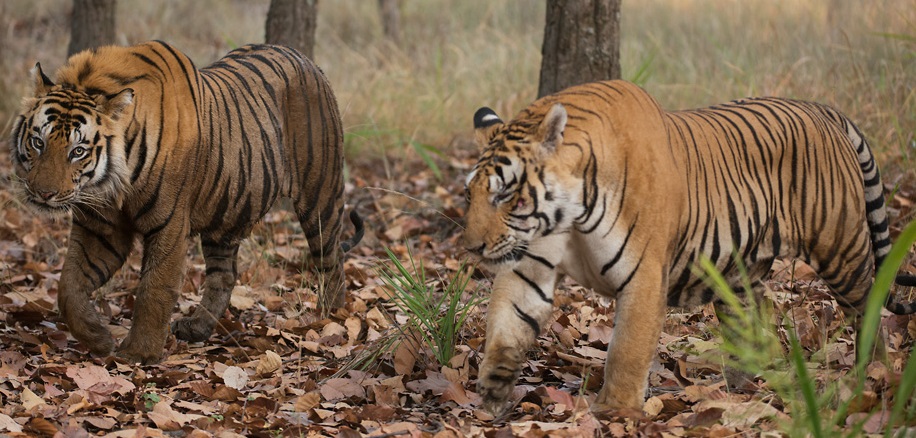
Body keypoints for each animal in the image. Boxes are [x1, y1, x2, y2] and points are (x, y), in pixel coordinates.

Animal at [10, 41, 364, 364]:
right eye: (38, 142)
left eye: (78, 151)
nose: (43, 193)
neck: (112, 184)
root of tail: (306, 58)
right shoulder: (101, 227)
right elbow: (69, 286)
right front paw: (98, 338)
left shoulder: (168, 224)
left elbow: (155, 287)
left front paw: (139, 353)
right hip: (228, 211)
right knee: (225, 275)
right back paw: (198, 327)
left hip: (321, 193)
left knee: (332, 261)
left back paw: (330, 320)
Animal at [466, 79, 916, 414]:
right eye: (471, 193)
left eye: (505, 194)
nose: (472, 248)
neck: (569, 216)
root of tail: (822, 108)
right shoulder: (528, 265)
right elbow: (506, 325)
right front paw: (492, 392)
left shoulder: (644, 275)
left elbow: (626, 351)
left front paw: (614, 412)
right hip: (739, 276)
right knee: (754, 326)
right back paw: (731, 389)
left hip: (841, 250)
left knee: (868, 308)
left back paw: (870, 377)